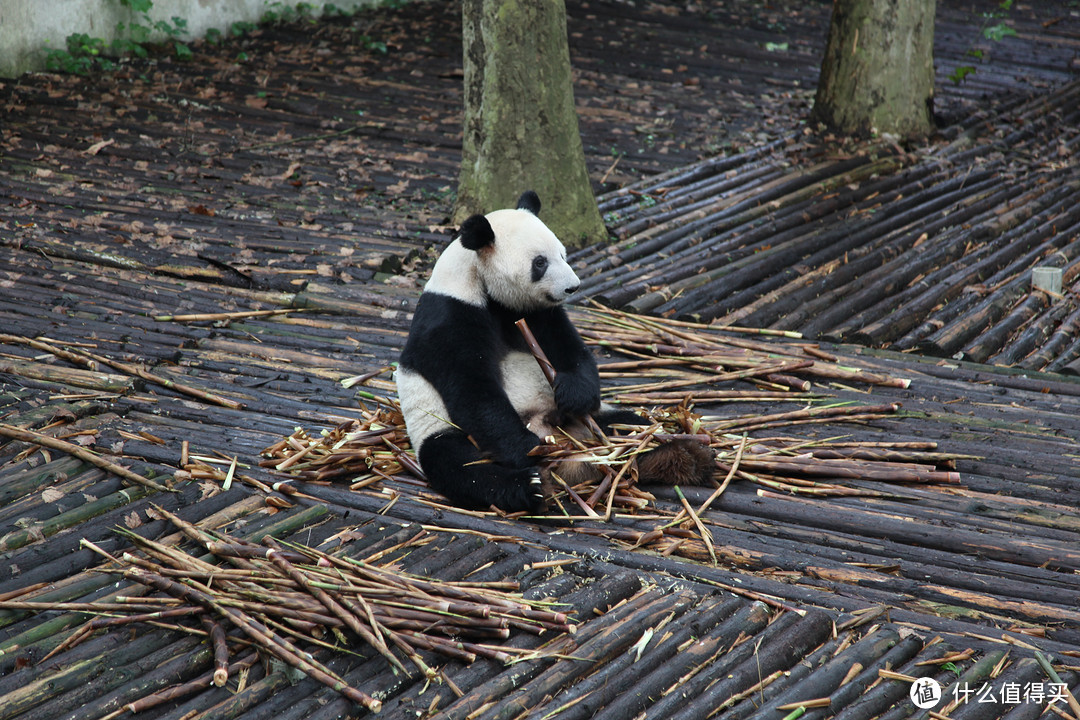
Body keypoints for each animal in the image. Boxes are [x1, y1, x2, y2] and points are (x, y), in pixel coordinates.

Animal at [397, 188, 717, 509]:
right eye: (540, 263)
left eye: (563, 254)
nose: (572, 287)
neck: (477, 280)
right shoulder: (450, 316)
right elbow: (472, 390)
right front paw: (527, 449)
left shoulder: (536, 313)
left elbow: (571, 350)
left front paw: (573, 393)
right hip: (437, 429)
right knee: (459, 464)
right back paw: (530, 485)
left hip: (597, 420)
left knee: (630, 425)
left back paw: (682, 455)